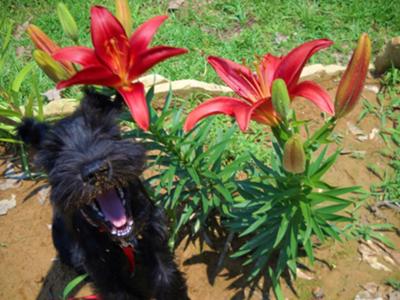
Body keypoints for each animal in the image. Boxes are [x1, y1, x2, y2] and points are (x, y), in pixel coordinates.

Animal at [17, 91, 189, 300]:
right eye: (54, 153)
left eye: (104, 130)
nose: (95, 171)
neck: (122, 240)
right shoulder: (104, 273)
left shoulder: (157, 244)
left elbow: (169, 282)